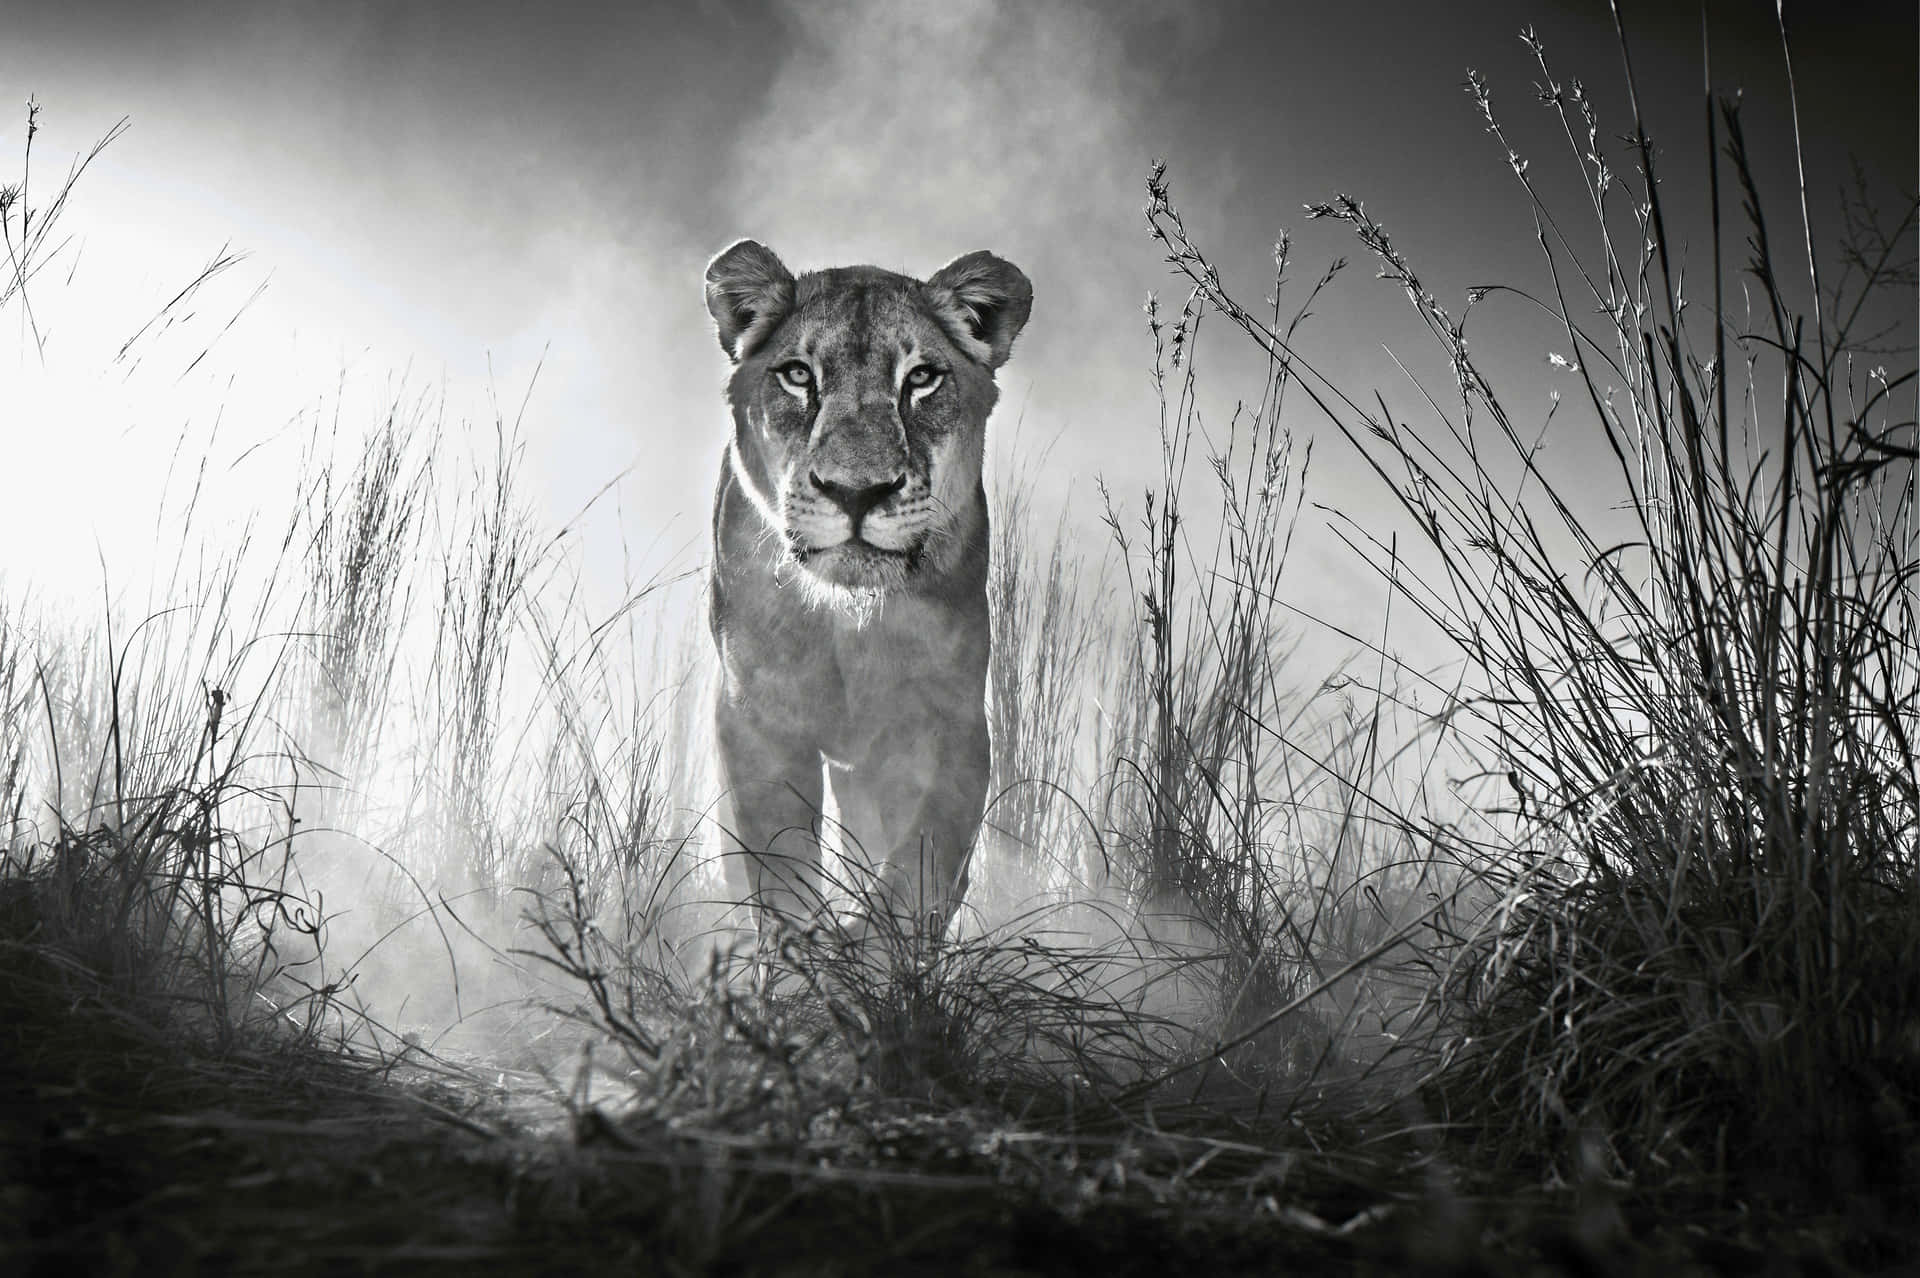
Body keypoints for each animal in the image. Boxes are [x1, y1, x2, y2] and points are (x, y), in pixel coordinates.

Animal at [703, 239, 1032, 943]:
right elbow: (778, 863)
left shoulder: (950, 721)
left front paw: (871, 948)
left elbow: (922, 864)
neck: (848, 623)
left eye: (922, 378)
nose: (856, 492)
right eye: (798, 375)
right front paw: (801, 955)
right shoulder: (756, 716)